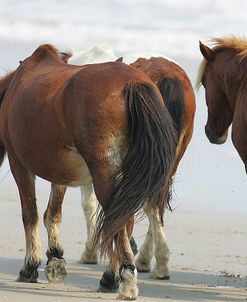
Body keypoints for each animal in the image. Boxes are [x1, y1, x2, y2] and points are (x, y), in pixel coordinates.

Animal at [0, 43, 178, 300]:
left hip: (106, 176)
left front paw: (30, 267)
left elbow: (30, 214)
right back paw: (111, 278)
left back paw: (125, 281)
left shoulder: (19, 164)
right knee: (123, 220)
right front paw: (55, 259)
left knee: (118, 221)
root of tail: (131, 83)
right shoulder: (61, 171)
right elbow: (52, 213)